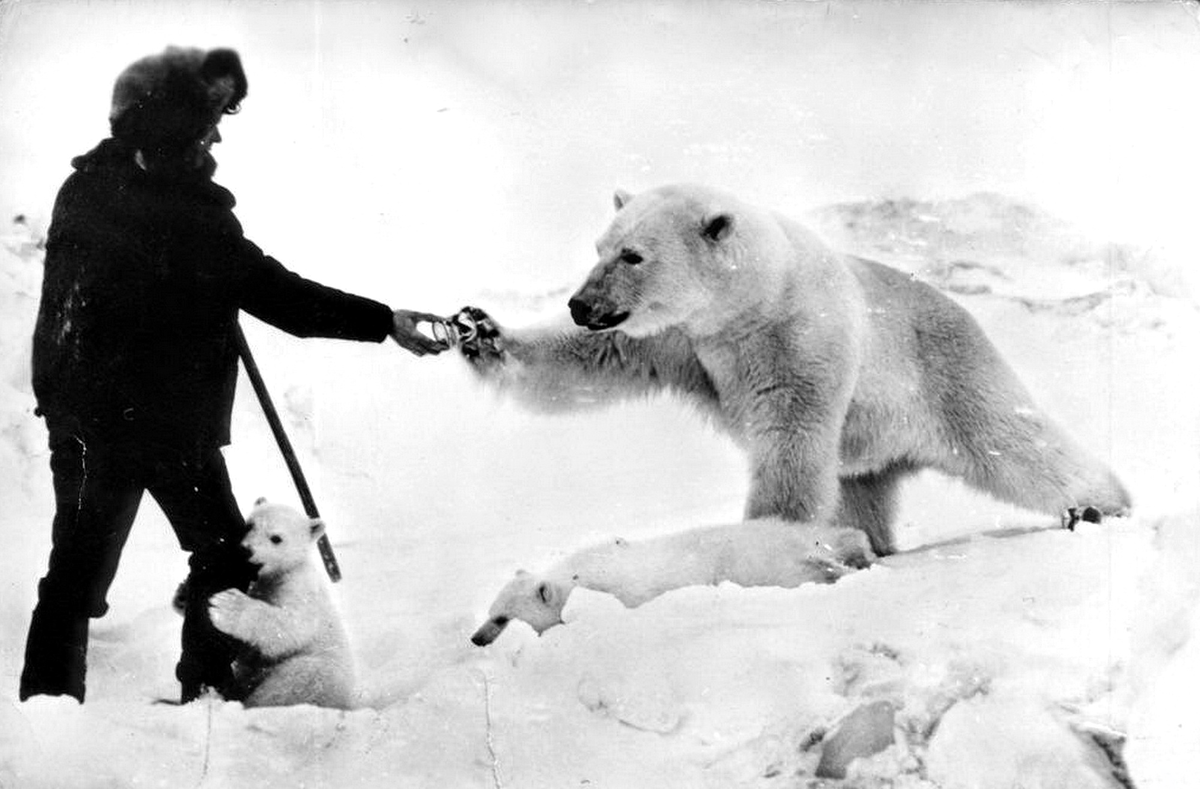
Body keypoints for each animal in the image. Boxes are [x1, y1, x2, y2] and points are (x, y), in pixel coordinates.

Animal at [453, 184, 1128, 553]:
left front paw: (763, 541)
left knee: (1011, 443)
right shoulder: (680, 340)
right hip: (869, 443)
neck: (748, 304)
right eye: (600, 247)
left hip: (945, 371)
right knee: (861, 490)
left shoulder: (799, 340)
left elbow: (791, 440)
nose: (581, 303)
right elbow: (591, 359)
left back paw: (1099, 507)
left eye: (633, 254)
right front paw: (480, 331)